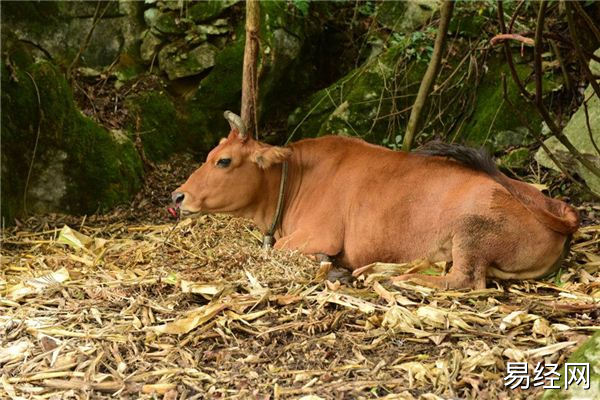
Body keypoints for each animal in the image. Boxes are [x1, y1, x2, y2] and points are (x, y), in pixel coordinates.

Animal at [172, 111, 576, 290]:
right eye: (210, 154)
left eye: (223, 161)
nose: (178, 195)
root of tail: (555, 211)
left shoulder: (319, 235)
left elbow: (278, 252)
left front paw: (331, 267)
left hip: (470, 229)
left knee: (462, 281)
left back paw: (387, 277)